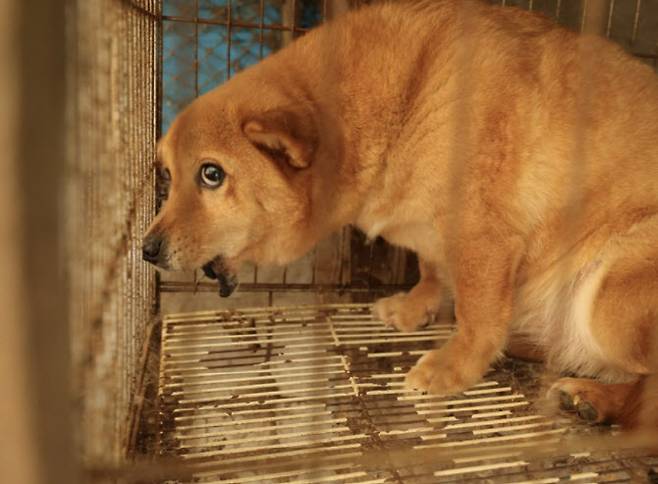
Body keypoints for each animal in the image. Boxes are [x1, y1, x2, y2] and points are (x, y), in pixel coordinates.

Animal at [144, 0, 656, 432]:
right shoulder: (434, 233)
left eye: (212, 174)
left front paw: (454, 366)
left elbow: (477, 318)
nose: (146, 250)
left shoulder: (482, 235)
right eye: (166, 175)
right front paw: (416, 306)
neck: (402, 102)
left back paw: (596, 398)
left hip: (608, 292)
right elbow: (431, 269)